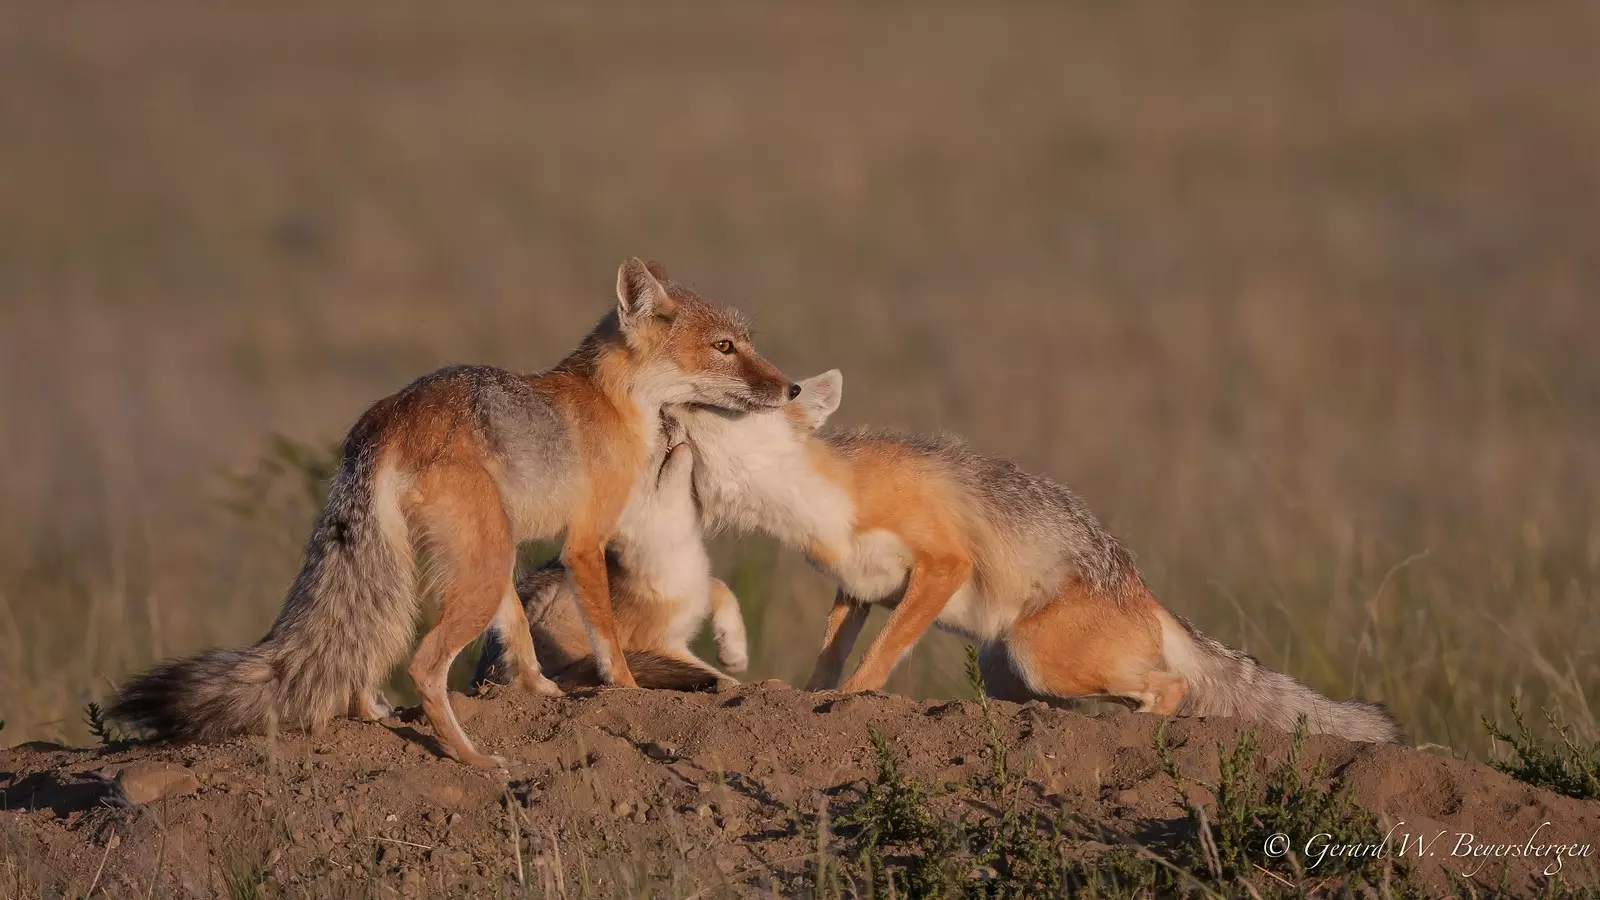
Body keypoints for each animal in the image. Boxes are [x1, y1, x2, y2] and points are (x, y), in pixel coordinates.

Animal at [473, 422, 748, 695]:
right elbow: (704, 667)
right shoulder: (661, 645)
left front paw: (734, 651)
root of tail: (483, 681)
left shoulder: (698, 589)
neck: (676, 552)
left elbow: (722, 588)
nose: (665, 427)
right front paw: (730, 678)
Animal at [681, 368, 1408, 739]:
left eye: (733, 403)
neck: (820, 505)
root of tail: (1144, 591)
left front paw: (855, 701)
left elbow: (880, 656)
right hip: (1007, 667)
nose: (675, 404)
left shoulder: (943, 566)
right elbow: (830, 656)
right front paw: (808, 698)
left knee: (1169, 685)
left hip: (1035, 652)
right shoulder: (857, 587)